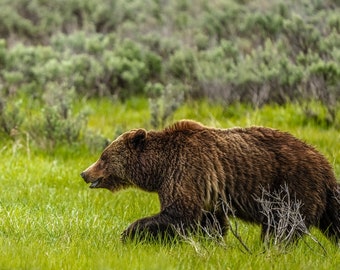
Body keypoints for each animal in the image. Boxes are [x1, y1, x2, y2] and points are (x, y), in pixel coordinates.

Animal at [80, 119, 340, 244]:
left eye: (103, 157)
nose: (84, 173)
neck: (159, 167)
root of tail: (325, 162)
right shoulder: (207, 189)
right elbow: (211, 221)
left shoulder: (187, 170)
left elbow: (179, 213)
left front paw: (129, 233)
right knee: (333, 220)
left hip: (293, 185)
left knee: (286, 225)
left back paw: (274, 245)